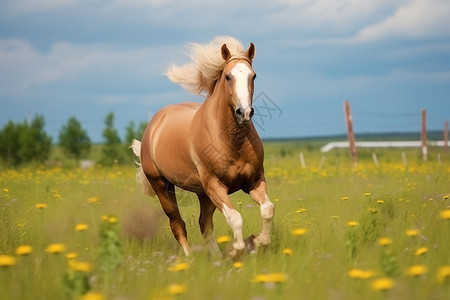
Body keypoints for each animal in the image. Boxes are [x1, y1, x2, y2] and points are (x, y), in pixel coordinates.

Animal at [132, 36, 274, 256]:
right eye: (227, 76)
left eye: (253, 76)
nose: (245, 113)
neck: (232, 142)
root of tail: (153, 127)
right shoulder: (215, 185)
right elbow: (235, 218)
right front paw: (236, 251)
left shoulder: (254, 180)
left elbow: (267, 209)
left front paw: (259, 241)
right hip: (163, 186)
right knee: (177, 223)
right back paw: (189, 259)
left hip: (203, 194)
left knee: (204, 223)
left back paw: (215, 258)